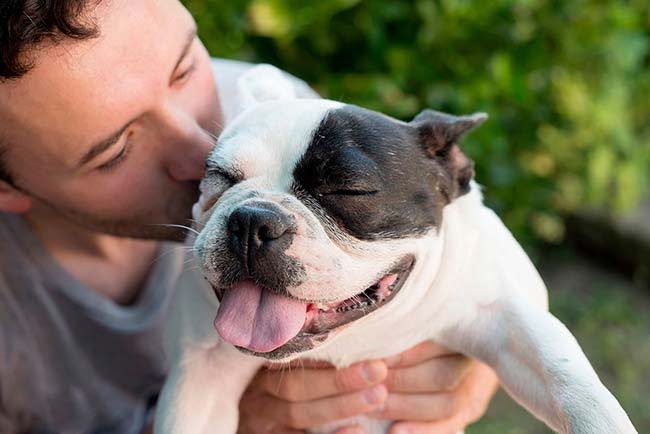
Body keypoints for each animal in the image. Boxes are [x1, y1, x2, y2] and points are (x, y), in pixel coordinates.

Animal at [154, 65, 636, 434]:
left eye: (349, 190)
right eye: (220, 178)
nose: (254, 219)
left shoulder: (503, 312)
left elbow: (565, 375)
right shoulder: (203, 372)